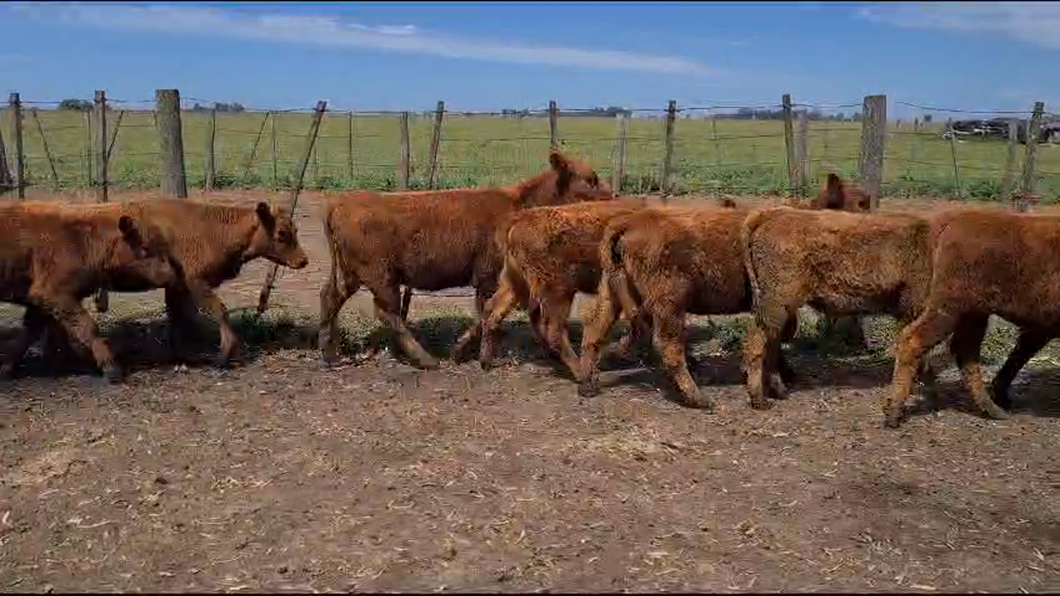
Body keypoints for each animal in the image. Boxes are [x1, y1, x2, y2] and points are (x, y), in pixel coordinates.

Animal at [0, 201, 175, 379]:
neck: (81, 241)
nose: (171, 274)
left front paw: (6, 369)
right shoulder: (56, 295)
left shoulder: (40, 301)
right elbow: (88, 328)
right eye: (145, 248)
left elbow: (29, 333)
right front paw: (111, 368)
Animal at [315, 148, 614, 366]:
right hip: (380, 275)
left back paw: (330, 353)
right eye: (590, 178)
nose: (615, 194)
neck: (521, 204)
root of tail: (341, 202)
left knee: (331, 296)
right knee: (388, 313)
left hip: (352, 274)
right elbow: (486, 312)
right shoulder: (489, 277)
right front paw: (462, 351)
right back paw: (426, 360)